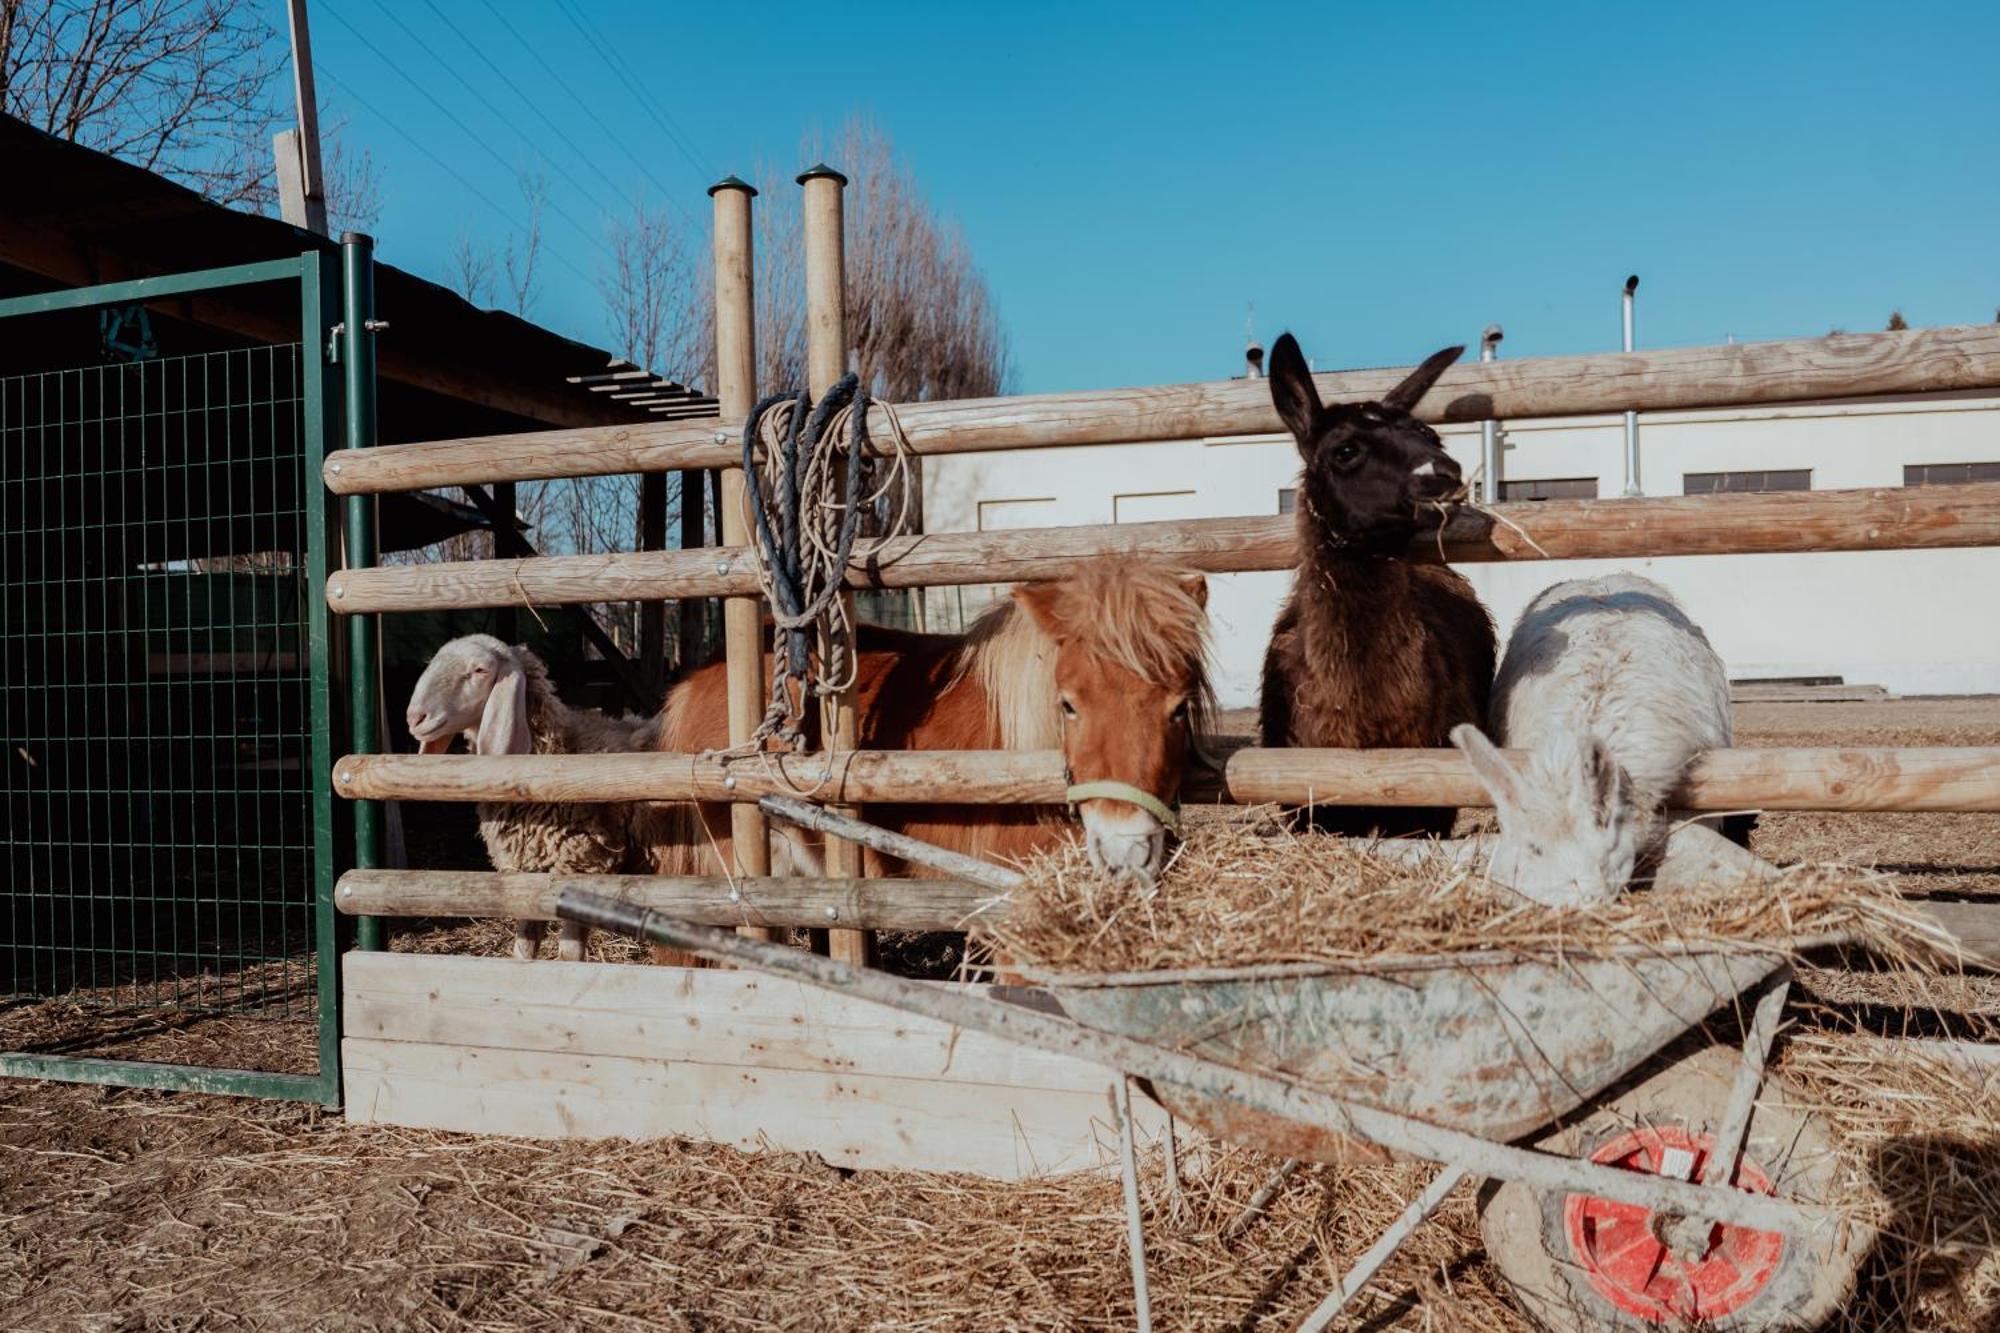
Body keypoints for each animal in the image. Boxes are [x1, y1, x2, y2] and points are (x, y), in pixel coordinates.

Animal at [402, 632, 660, 956]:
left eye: (480, 670)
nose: (415, 718)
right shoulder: (528, 872)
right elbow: (523, 948)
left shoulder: (582, 866)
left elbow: (569, 953)